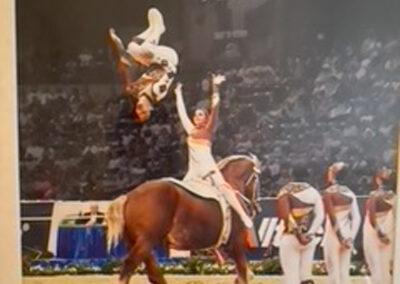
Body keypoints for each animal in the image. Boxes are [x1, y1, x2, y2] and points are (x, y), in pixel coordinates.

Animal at [106, 155, 260, 284]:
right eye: (256, 179)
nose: (255, 208)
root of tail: (129, 196)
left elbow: (242, 274)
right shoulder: (236, 243)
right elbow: (243, 273)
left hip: (138, 242)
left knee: (153, 273)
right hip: (146, 241)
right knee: (130, 266)